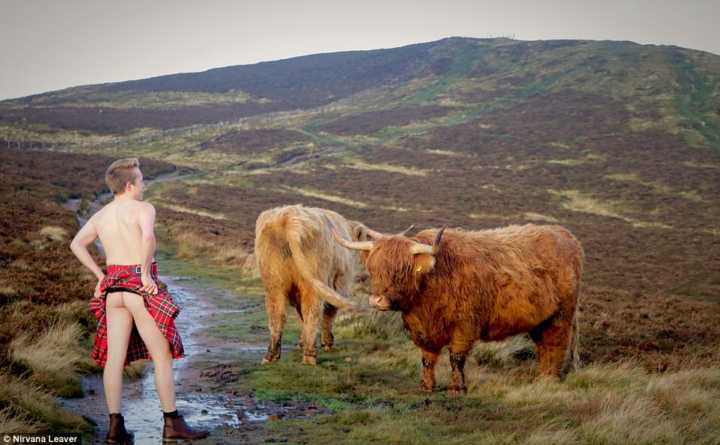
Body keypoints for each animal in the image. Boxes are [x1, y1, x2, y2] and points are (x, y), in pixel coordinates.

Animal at [334, 224, 584, 394]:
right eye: (373, 269)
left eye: (401, 271)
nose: (376, 300)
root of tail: (565, 234)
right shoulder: (423, 329)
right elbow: (427, 358)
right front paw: (426, 385)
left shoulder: (465, 326)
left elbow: (456, 358)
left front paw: (458, 388)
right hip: (541, 320)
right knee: (544, 347)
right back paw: (542, 377)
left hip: (561, 315)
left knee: (555, 345)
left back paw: (549, 380)